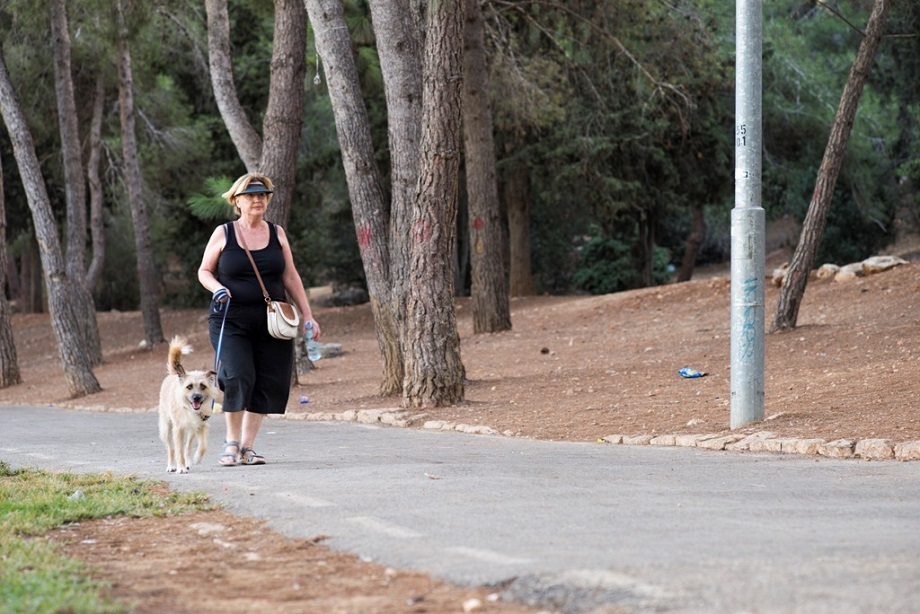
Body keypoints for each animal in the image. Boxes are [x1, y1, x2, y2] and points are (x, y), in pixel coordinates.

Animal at [156, 336, 219, 476]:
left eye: (203, 386)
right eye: (189, 386)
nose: (196, 397)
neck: (190, 409)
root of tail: (174, 374)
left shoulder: (201, 425)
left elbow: (203, 446)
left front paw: (196, 459)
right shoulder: (178, 429)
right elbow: (178, 450)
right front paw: (181, 467)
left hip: (191, 431)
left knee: (188, 446)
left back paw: (188, 461)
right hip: (166, 428)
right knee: (171, 448)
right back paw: (171, 465)